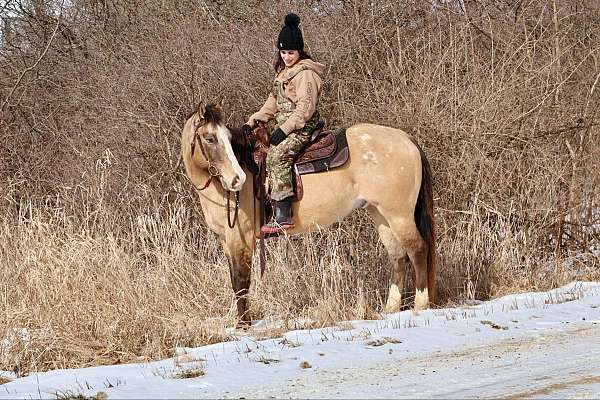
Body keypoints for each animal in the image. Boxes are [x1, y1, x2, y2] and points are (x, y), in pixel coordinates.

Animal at [179, 101, 436, 326]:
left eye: (228, 140)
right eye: (210, 138)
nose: (237, 179)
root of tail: (406, 139)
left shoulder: (240, 238)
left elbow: (242, 281)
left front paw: (243, 326)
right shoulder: (226, 240)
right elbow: (235, 280)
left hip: (399, 215)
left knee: (417, 249)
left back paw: (421, 305)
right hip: (380, 214)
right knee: (398, 256)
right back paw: (391, 309)